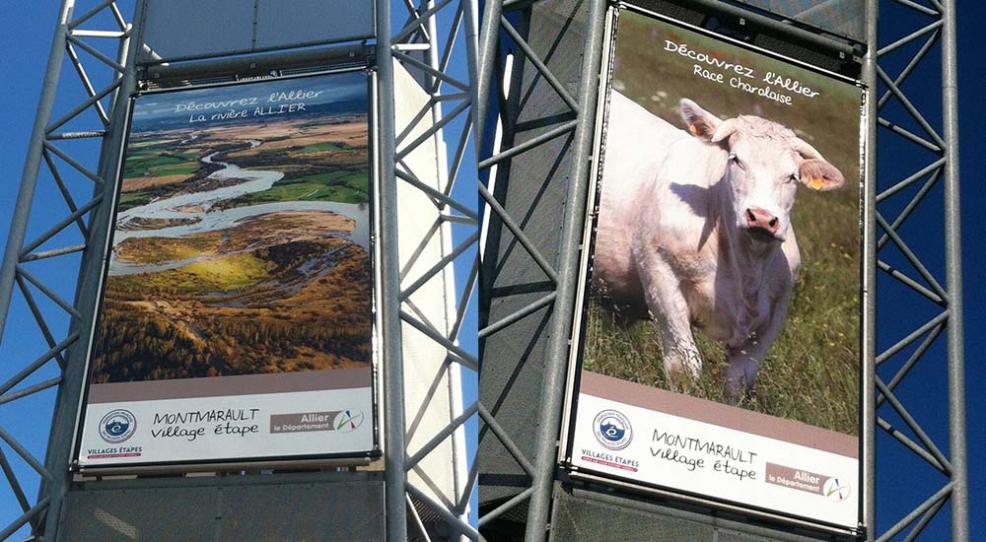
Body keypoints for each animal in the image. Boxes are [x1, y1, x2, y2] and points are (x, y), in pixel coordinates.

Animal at [596, 91, 840, 402]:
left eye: (793, 176)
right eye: (736, 160)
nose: (762, 217)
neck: (745, 272)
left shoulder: (774, 315)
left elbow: (738, 384)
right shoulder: (661, 277)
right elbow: (684, 367)